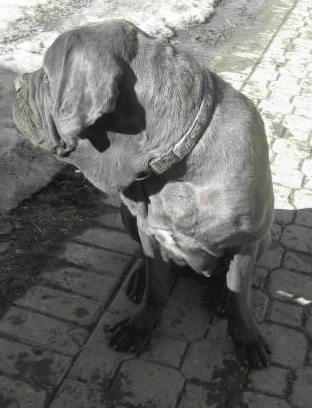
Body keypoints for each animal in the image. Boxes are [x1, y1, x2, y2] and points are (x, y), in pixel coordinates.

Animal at [13, 20, 274, 368]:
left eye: (46, 76)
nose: (15, 83)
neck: (174, 159)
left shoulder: (247, 241)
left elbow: (241, 292)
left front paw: (246, 335)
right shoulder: (150, 231)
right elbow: (156, 285)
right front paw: (141, 324)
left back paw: (218, 293)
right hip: (127, 214)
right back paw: (138, 276)